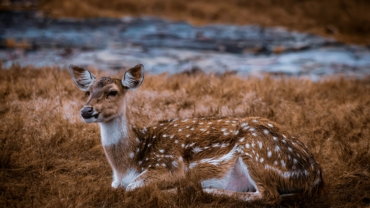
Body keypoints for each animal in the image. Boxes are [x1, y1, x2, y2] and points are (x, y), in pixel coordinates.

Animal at [68, 63, 322, 203]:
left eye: (112, 92)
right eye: (88, 92)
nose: (86, 111)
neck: (129, 161)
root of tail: (315, 175)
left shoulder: (169, 165)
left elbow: (133, 187)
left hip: (256, 151)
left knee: (269, 195)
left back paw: (199, 189)